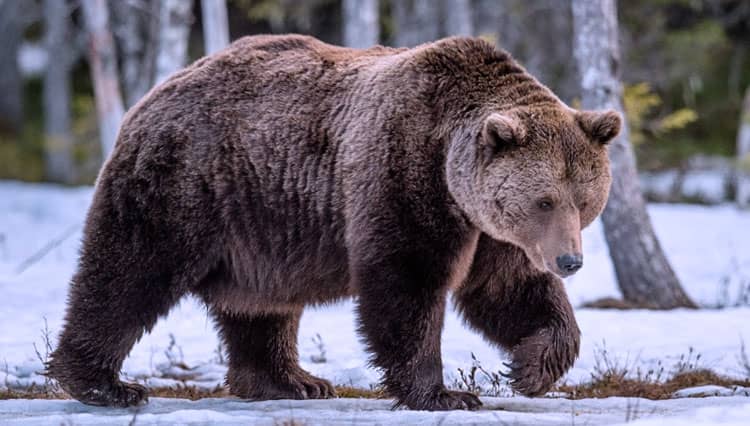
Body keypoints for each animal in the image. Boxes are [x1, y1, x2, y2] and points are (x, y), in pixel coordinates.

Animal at [46, 34, 621, 411]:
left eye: (584, 199)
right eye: (544, 200)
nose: (569, 260)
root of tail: (153, 94)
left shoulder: (488, 229)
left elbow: (508, 290)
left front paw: (530, 368)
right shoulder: (402, 175)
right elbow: (406, 285)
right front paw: (445, 393)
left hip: (259, 226)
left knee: (260, 306)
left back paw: (291, 381)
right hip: (185, 187)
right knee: (130, 274)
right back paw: (104, 384)